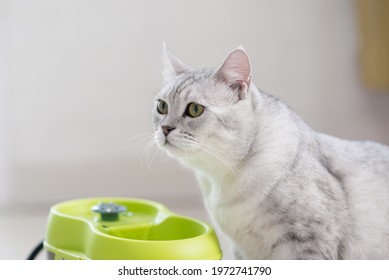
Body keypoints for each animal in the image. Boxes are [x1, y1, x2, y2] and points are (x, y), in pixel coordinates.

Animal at [151, 44, 388, 260]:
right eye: (162, 106)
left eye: (195, 109)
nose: (165, 128)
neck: (222, 179)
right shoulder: (242, 251)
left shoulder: (310, 242)